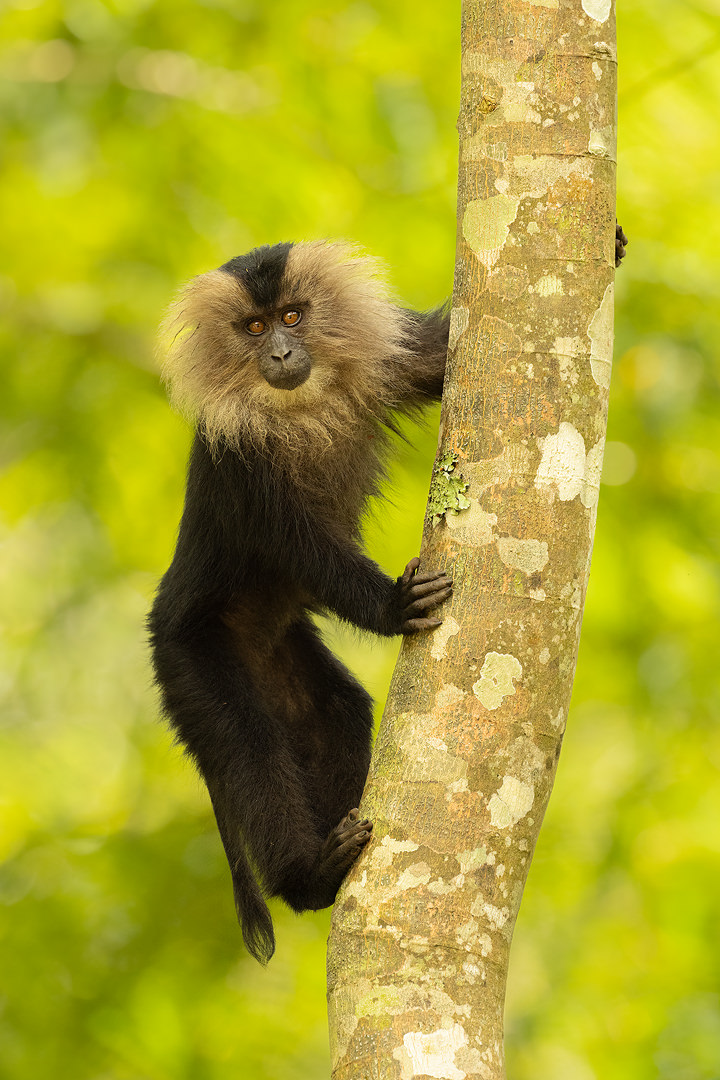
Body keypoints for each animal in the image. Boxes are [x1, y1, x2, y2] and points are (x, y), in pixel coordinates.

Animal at [148, 243, 453, 963]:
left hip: (280, 650)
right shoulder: (244, 461)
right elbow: (305, 550)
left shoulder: (389, 358)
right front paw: (394, 607)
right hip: (190, 655)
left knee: (335, 710)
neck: (297, 409)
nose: (282, 353)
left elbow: (440, 357)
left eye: (292, 316)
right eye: (255, 328)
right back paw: (307, 879)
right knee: (251, 745)